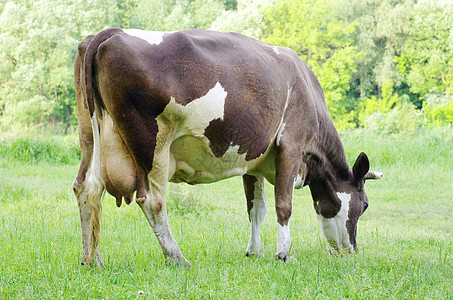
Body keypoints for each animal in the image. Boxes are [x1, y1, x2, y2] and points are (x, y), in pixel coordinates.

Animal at [73, 28, 382, 268]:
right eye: (365, 205)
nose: (351, 251)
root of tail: (110, 33)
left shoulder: (254, 160)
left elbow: (256, 208)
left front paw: (254, 252)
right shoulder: (291, 145)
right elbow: (284, 205)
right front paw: (284, 254)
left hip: (89, 136)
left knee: (86, 188)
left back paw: (92, 259)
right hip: (152, 144)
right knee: (152, 201)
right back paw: (176, 257)